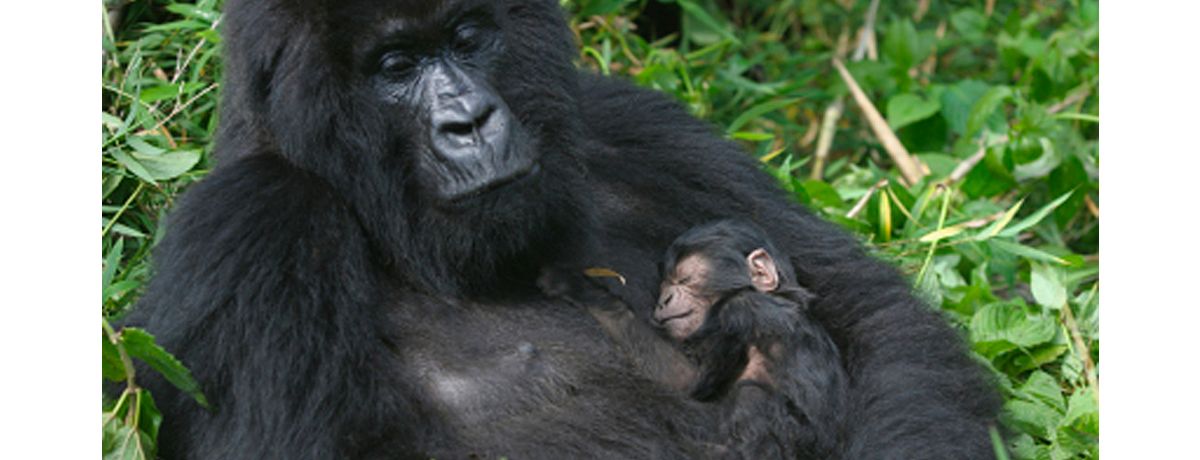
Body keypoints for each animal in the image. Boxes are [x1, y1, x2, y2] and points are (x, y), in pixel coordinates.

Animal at [540, 220, 849, 458]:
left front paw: (574, 285)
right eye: (665, 282)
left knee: (752, 396)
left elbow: (686, 376)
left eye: (684, 279)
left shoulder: (737, 311)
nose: (664, 299)